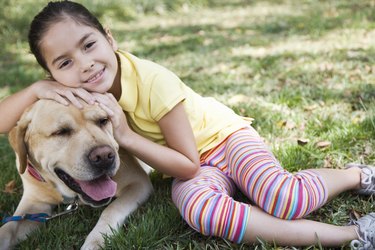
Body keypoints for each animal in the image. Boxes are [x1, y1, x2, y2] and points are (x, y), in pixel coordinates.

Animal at [0, 99, 153, 250]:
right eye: (61, 131)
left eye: (103, 120)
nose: (104, 156)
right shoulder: (33, 205)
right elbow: (8, 229)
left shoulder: (138, 183)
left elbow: (112, 208)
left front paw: (96, 240)